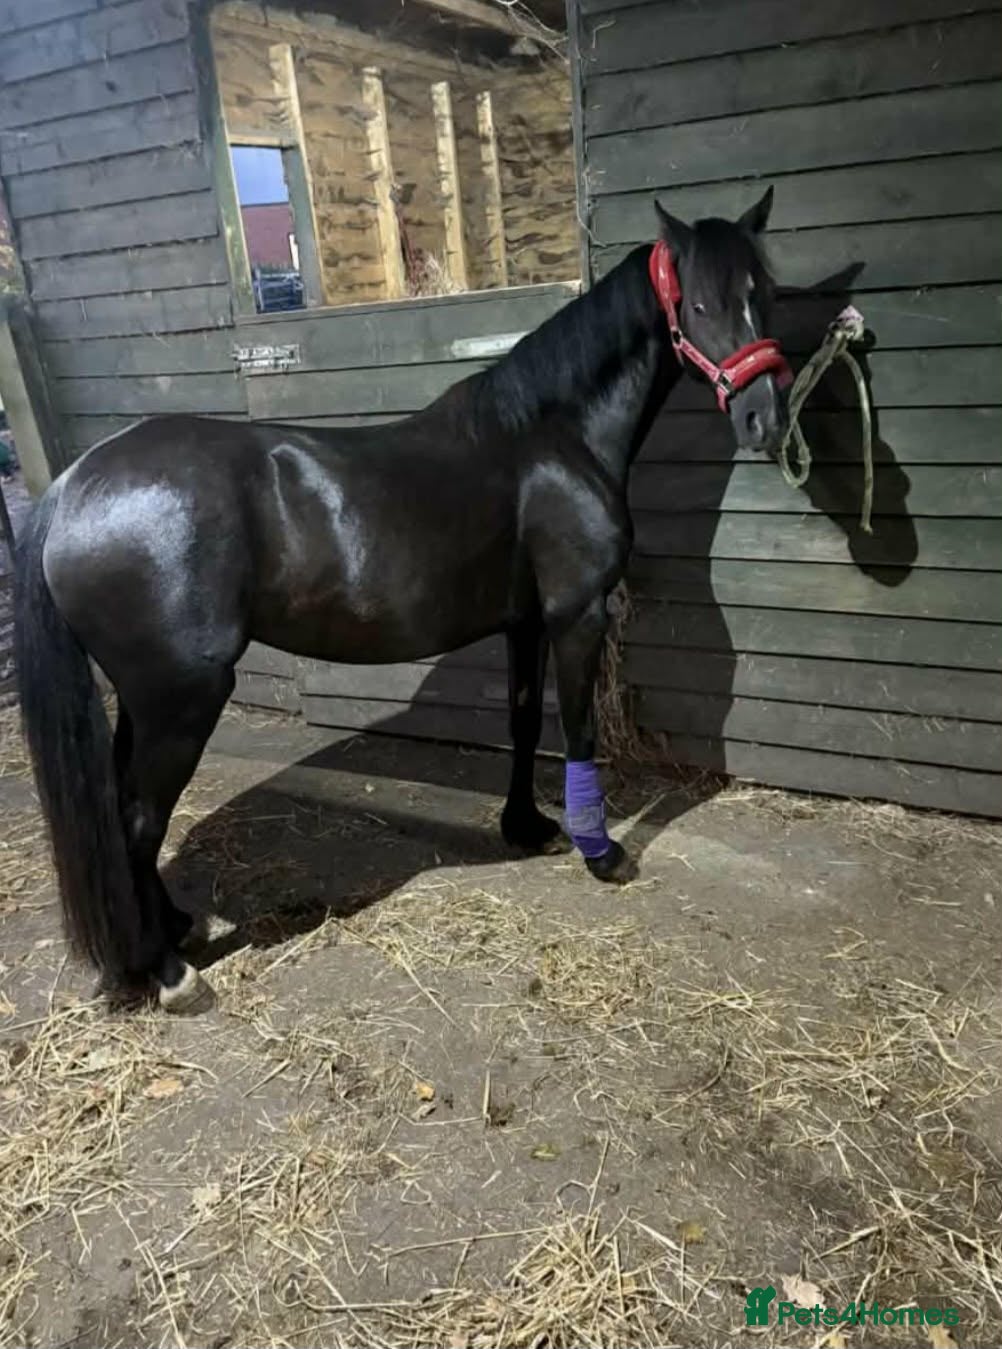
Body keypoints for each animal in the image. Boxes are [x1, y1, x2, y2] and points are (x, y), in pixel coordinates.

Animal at [15, 190, 791, 1013]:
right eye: (699, 303)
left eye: (763, 293)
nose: (765, 420)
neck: (550, 440)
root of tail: (73, 486)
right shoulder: (576, 613)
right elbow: (579, 731)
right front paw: (601, 850)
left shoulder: (524, 621)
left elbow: (522, 723)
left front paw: (526, 826)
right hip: (182, 697)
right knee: (137, 821)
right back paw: (171, 974)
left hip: (146, 697)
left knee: (126, 808)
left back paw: (174, 929)